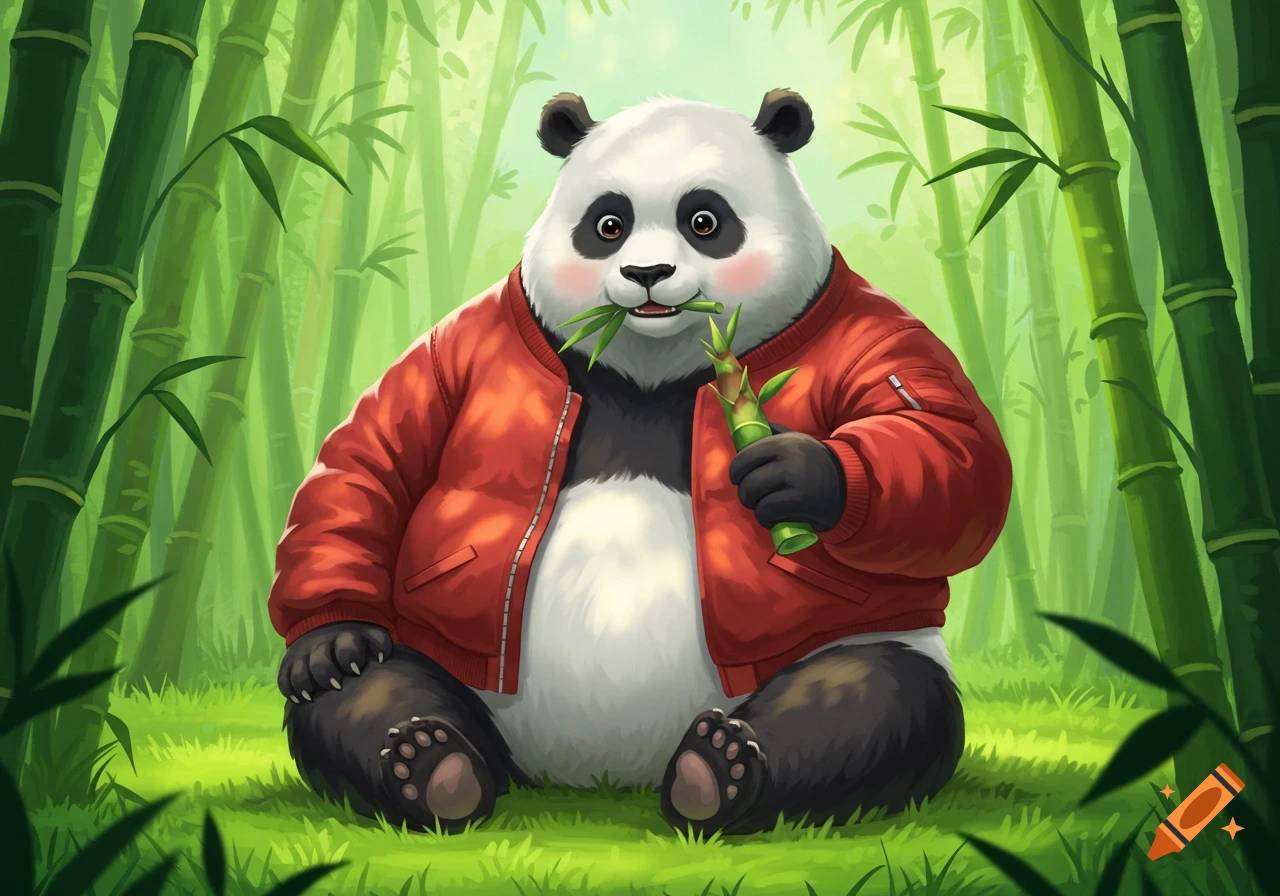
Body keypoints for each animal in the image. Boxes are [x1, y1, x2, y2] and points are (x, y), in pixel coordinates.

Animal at [270, 88, 1012, 836]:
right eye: (608, 224)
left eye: (705, 220)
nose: (647, 274)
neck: (655, 365)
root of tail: (600, 771)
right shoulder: (471, 341)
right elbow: (378, 450)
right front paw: (329, 635)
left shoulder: (865, 329)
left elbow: (954, 454)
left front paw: (800, 473)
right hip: (450, 664)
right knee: (363, 690)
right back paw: (428, 759)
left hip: (865, 646)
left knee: (876, 697)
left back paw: (715, 769)